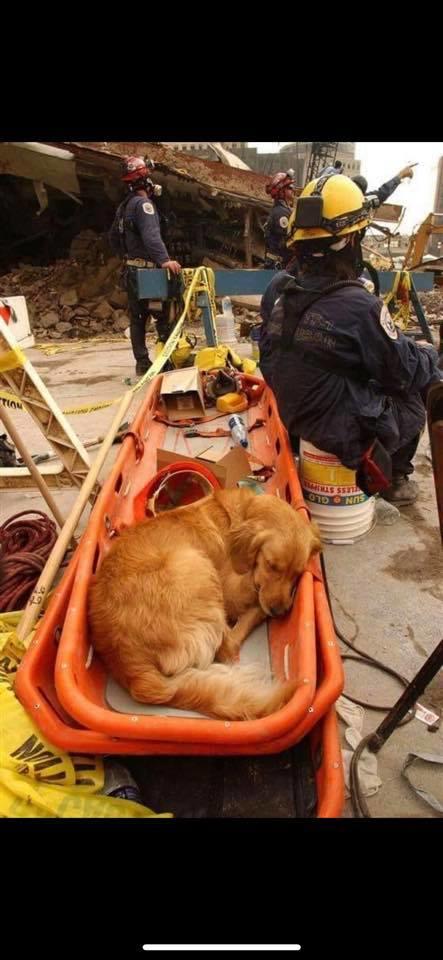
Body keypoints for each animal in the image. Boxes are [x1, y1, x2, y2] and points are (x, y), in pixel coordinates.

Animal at [88, 488, 320, 720]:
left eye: (298, 573)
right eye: (271, 565)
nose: (279, 612)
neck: (242, 513)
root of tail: (136, 675)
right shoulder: (233, 589)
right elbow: (254, 593)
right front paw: (261, 603)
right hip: (197, 564)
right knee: (228, 646)